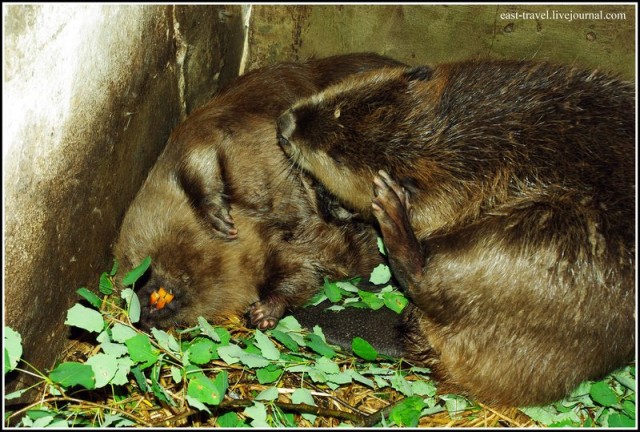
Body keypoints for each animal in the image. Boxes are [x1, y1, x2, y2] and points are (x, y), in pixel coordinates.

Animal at [114, 53, 404, 330]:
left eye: (133, 262)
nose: (143, 316)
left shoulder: (204, 131)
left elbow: (202, 160)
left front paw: (220, 221)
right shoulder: (274, 254)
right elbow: (303, 274)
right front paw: (264, 314)